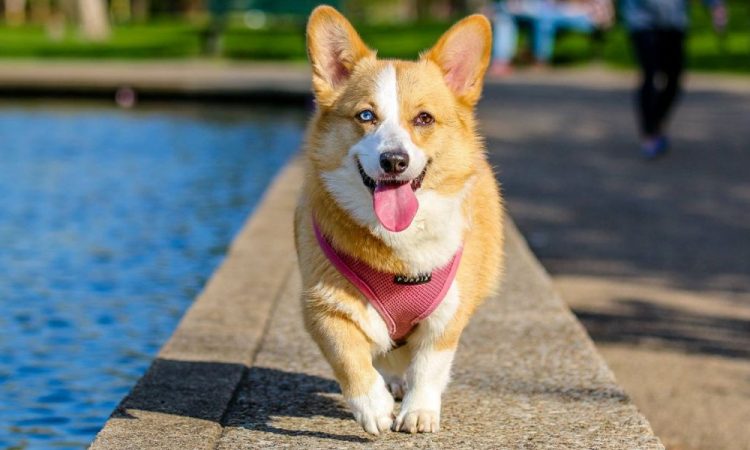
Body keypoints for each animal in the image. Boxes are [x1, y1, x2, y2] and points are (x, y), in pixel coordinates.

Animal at [294, 5, 506, 436]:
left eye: (423, 118)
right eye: (365, 115)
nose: (394, 161)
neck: (399, 247)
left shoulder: (448, 314)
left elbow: (429, 365)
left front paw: (419, 411)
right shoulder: (322, 306)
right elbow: (349, 357)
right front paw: (372, 406)